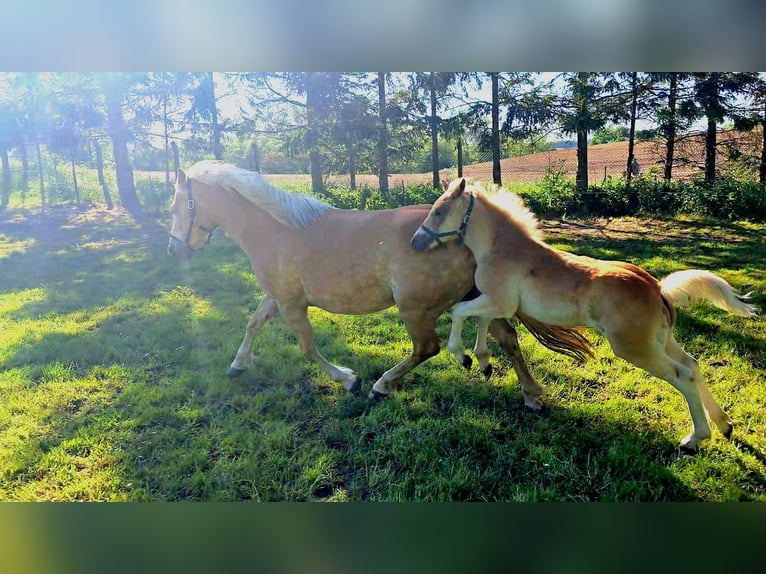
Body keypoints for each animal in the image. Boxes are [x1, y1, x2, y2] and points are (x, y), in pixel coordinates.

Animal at [166, 162, 588, 404]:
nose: (174, 249)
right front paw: (238, 365)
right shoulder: (278, 296)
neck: (278, 230)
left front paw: (349, 380)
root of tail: (466, 237)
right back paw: (530, 394)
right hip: (479, 299)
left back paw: (382, 384)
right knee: (508, 339)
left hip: (415, 307)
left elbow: (307, 347)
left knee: (428, 348)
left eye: (176, 206)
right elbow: (253, 323)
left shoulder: (291, 304)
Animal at [412, 178, 760, 452]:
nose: (416, 242)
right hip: (661, 341)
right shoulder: (498, 303)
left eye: (439, 211)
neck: (502, 250)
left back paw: (694, 438)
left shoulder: (498, 302)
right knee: (693, 364)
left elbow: (459, 312)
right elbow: (481, 321)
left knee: (683, 375)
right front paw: (483, 361)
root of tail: (657, 287)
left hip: (635, 348)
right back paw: (725, 424)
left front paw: (463, 357)